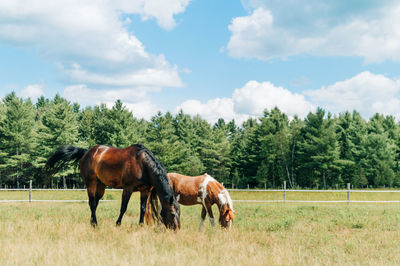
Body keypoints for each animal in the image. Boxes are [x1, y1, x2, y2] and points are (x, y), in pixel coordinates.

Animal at [45, 144, 180, 230]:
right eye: (173, 214)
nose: (177, 229)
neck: (142, 164)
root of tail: (86, 152)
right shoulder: (128, 189)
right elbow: (123, 208)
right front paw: (118, 224)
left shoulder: (145, 190)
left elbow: (142, 208)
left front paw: (141, 225)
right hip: (91, 183)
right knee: (92, 203)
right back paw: (95, 224)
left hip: (101, 185)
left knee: (95, 203)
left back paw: (92, 222)